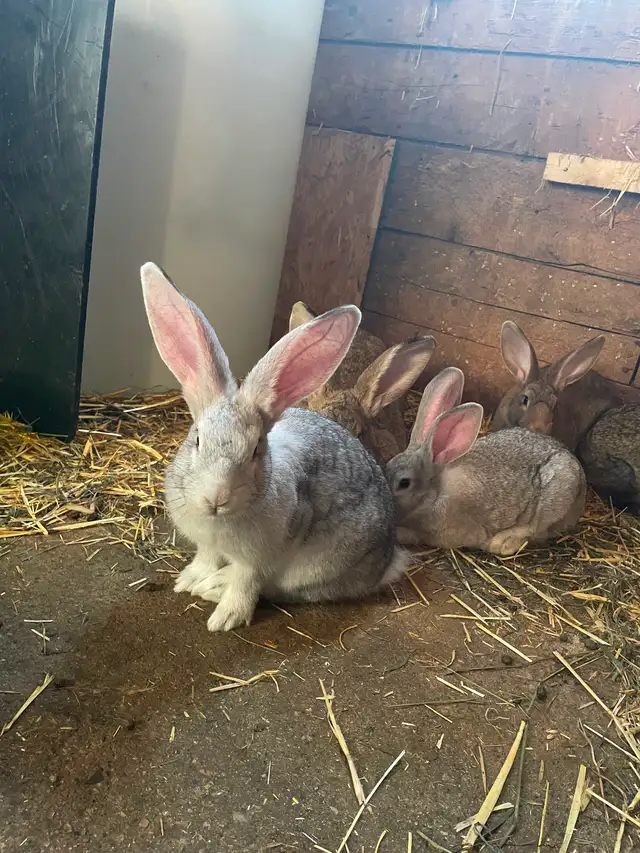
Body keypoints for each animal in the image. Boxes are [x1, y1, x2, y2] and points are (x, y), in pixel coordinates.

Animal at [140, 263, 407, 632]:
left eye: (255, 450)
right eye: (197, 439)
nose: (216, 498)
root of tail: (387, 561)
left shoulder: (260, 559)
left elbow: (246, 582)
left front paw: (226, 618)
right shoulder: (207, 545)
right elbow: (206, 558)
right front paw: (187, 580)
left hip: (317, 569)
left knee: (283, 588)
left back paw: (214, 588)